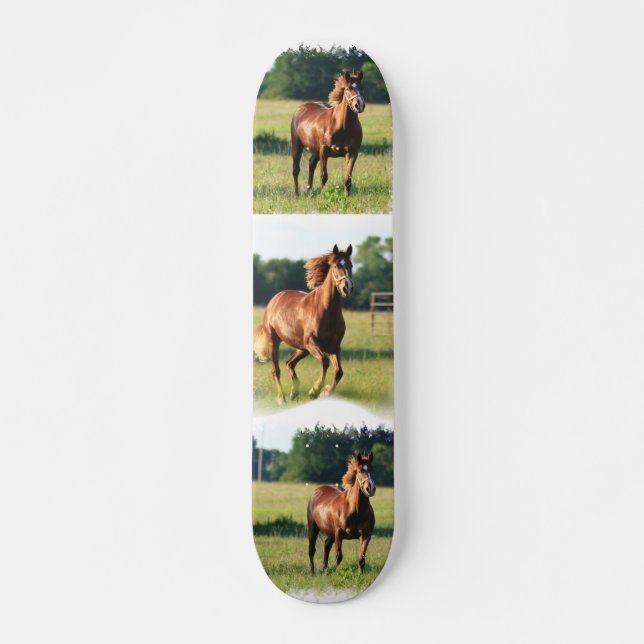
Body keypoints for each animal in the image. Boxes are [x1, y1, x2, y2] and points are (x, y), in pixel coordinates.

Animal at [253, 244, 353, 405]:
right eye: (336, 265)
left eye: (351, 265)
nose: (347, 287)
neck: (327, 310)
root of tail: (274, 300)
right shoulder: (311, 342)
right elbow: (325, 362)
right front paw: (315, 391)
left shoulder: (334, 346)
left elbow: (339, 372)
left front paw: (325, 392)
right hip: (275, 342)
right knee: (276, 371)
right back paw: (282, 399)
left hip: (302, 348)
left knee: (289, 363)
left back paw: (294, 393)